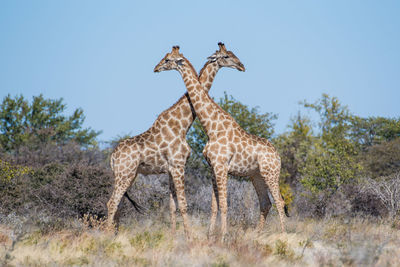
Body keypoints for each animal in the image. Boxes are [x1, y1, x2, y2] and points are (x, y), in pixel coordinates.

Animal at [104, 43, 245, 240]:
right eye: (226, 56)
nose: (241, 66)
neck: (182, 124)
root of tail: (113, 157)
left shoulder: (171, 168)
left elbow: (172, 206)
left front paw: (172, 236)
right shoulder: (178, 165)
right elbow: (184, 205)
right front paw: (189, 237)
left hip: (128, 175)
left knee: (117, 204)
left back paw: (114, 234)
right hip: (125, 173)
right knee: (111, 203)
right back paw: (106, 235)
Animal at [153, 45, 288, 241]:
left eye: (167, 59)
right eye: (226, 56)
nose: (241, 66)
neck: (211, 127)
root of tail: (277, 156)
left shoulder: (222, 166)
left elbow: (224, 204)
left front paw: (223, 235)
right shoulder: (213, 167)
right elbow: (214, 205)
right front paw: (211, 235)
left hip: (271, 173)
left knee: (279, 201)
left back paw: (284, 235)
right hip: (256, 175)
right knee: (266, 203)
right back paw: (257, 235)